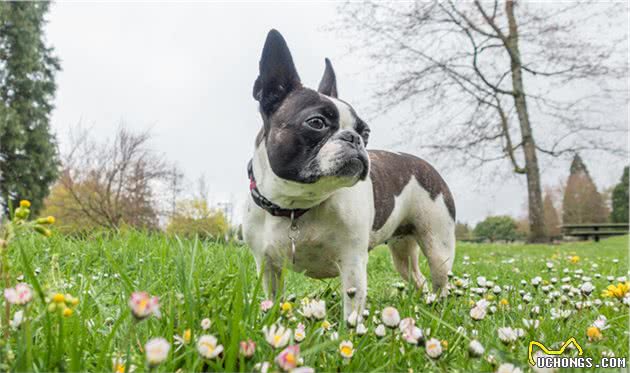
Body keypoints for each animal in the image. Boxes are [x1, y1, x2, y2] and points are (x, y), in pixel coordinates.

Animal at [244, 29, 456, 322]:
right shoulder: (268, 267)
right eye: (316, 123)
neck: (295, 207)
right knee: (417, 279)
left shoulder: (352, 262)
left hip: (438, 244)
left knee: (440, 279)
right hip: (402, 251)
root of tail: (422, 163)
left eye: (365, 132)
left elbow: (352, 308)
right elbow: (273, 301)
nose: (354, 138)